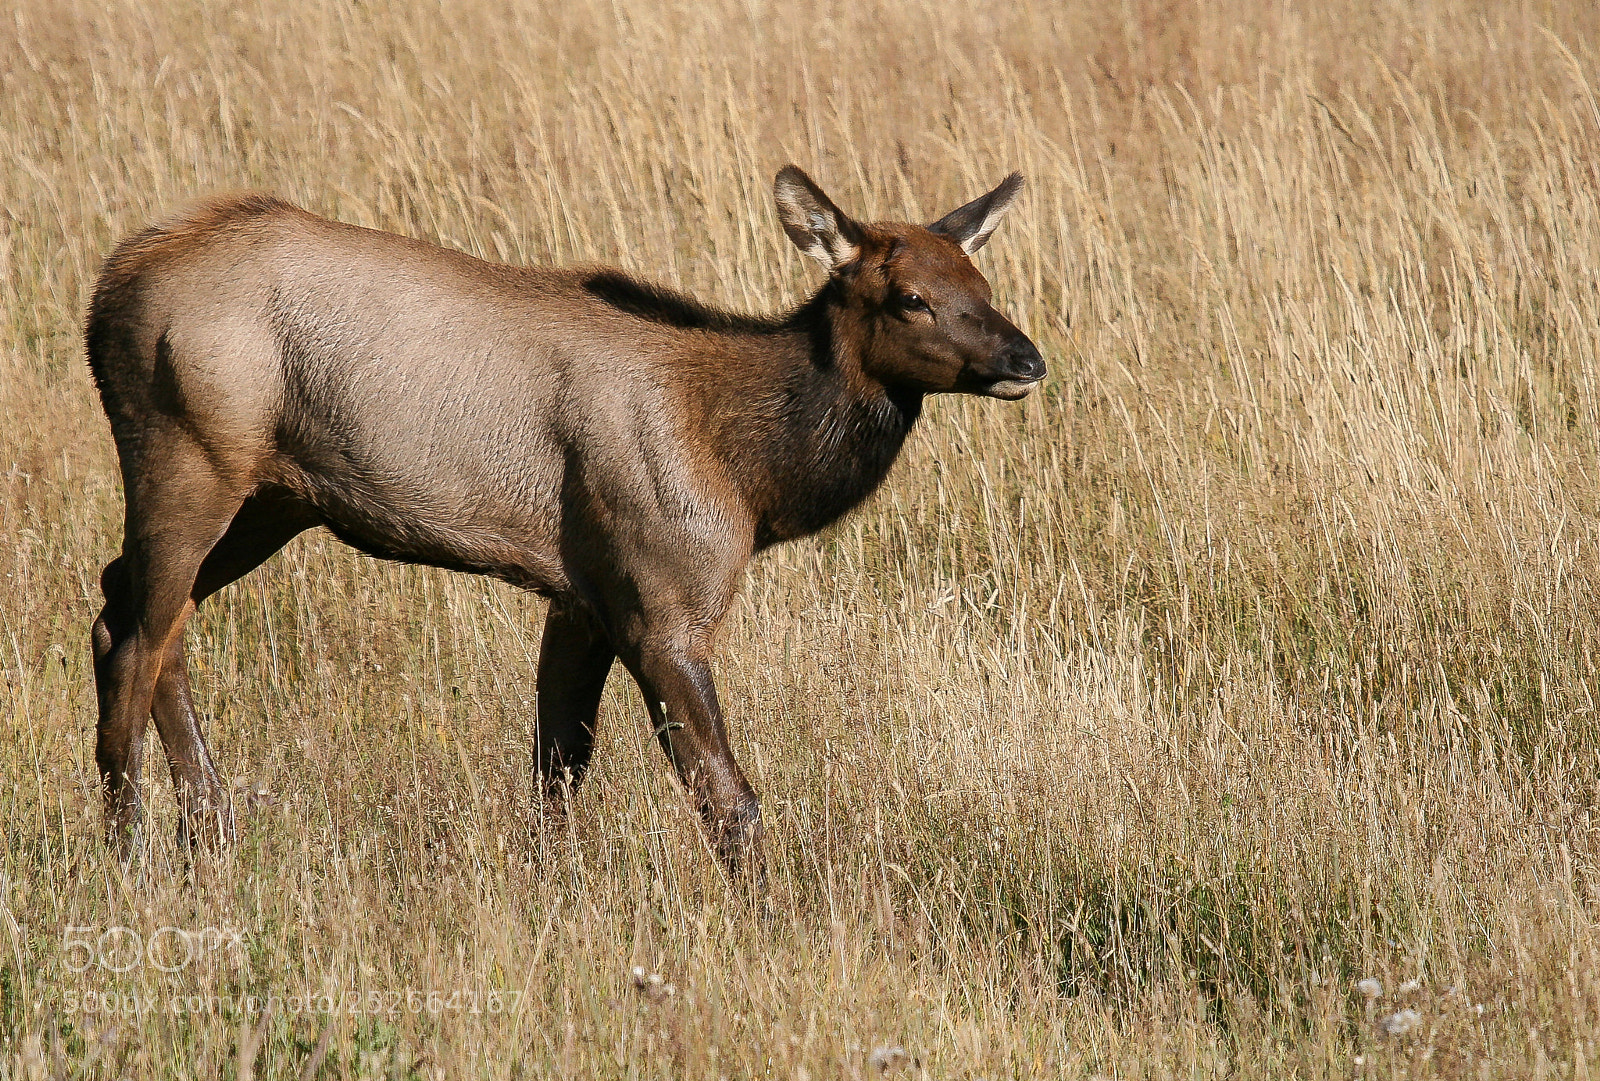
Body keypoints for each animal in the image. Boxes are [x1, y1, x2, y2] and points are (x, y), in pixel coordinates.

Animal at [86, 165, 1045, 881]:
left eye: (982, 282)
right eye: (910, 297)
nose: (1026, 357)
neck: (752, 474)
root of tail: (106, 289)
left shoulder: (579, 597)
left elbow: (558, 769)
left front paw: (549, 888)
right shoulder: (660, 602)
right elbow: (728, 798)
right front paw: (774, 917)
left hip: (273, 498)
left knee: (135, 612)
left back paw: (210, 826)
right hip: (188, 454)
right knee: (134, 638)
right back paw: (128, 852)